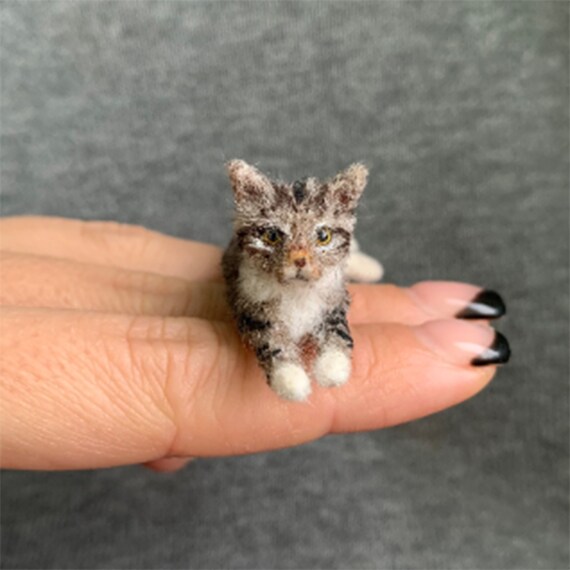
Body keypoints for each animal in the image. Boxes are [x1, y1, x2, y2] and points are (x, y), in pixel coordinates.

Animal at [222, 160, 372, 400]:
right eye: (272, 236)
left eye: (324, 236)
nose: (299, 260)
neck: (296, 293)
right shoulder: (251, 311)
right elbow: (272, 343)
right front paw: (292, 381)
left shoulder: (334, 302)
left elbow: (337, 331)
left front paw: (332, 369)